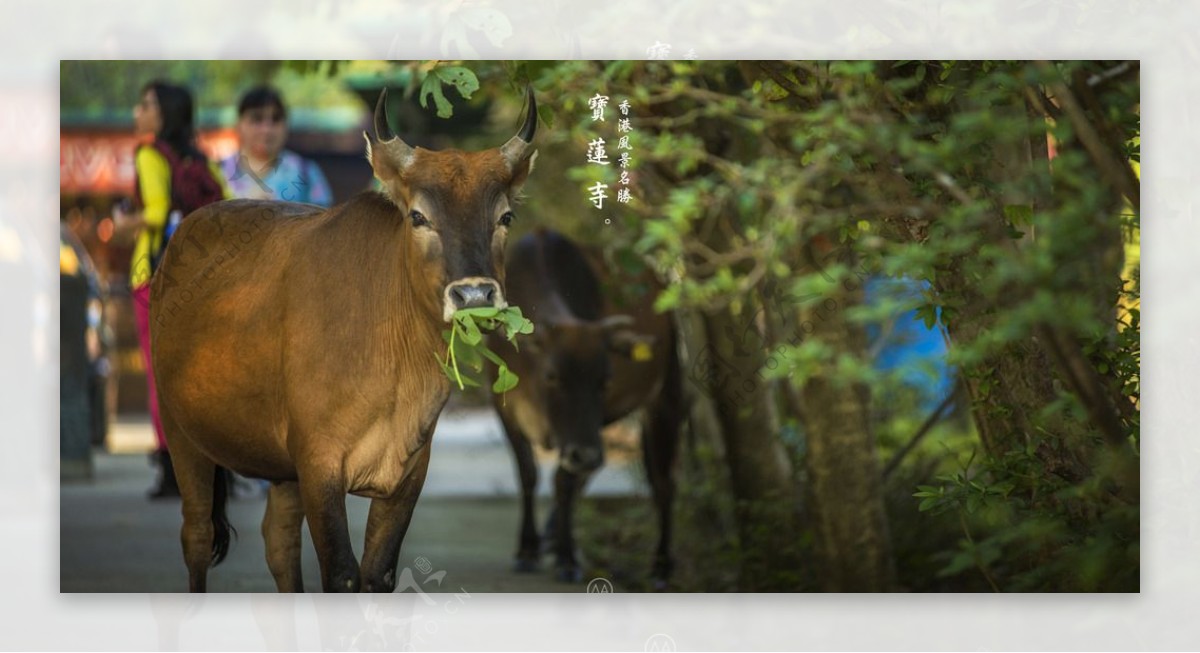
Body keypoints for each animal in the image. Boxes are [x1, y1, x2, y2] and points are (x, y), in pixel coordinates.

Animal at [150, 86, 540, 590]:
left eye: (506, 216)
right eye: (418, 216)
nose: (474, 294)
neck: (396, 372)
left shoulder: (408, 474)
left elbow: (377, 575)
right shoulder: (319, 466)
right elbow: (342, 575)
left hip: (281, 471)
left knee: (279, 543)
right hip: (182, 434)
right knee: (197, 536)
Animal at [482, 230, 681, 585]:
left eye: (605, 380)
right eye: (552, 375)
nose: (586, 454)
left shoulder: (585, 429)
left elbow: (564, 481)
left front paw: (567, 557)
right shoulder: (506, 411)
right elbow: (528, 473)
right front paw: (528, 550)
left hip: (666, 396)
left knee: (663, 481)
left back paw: (661, 566)